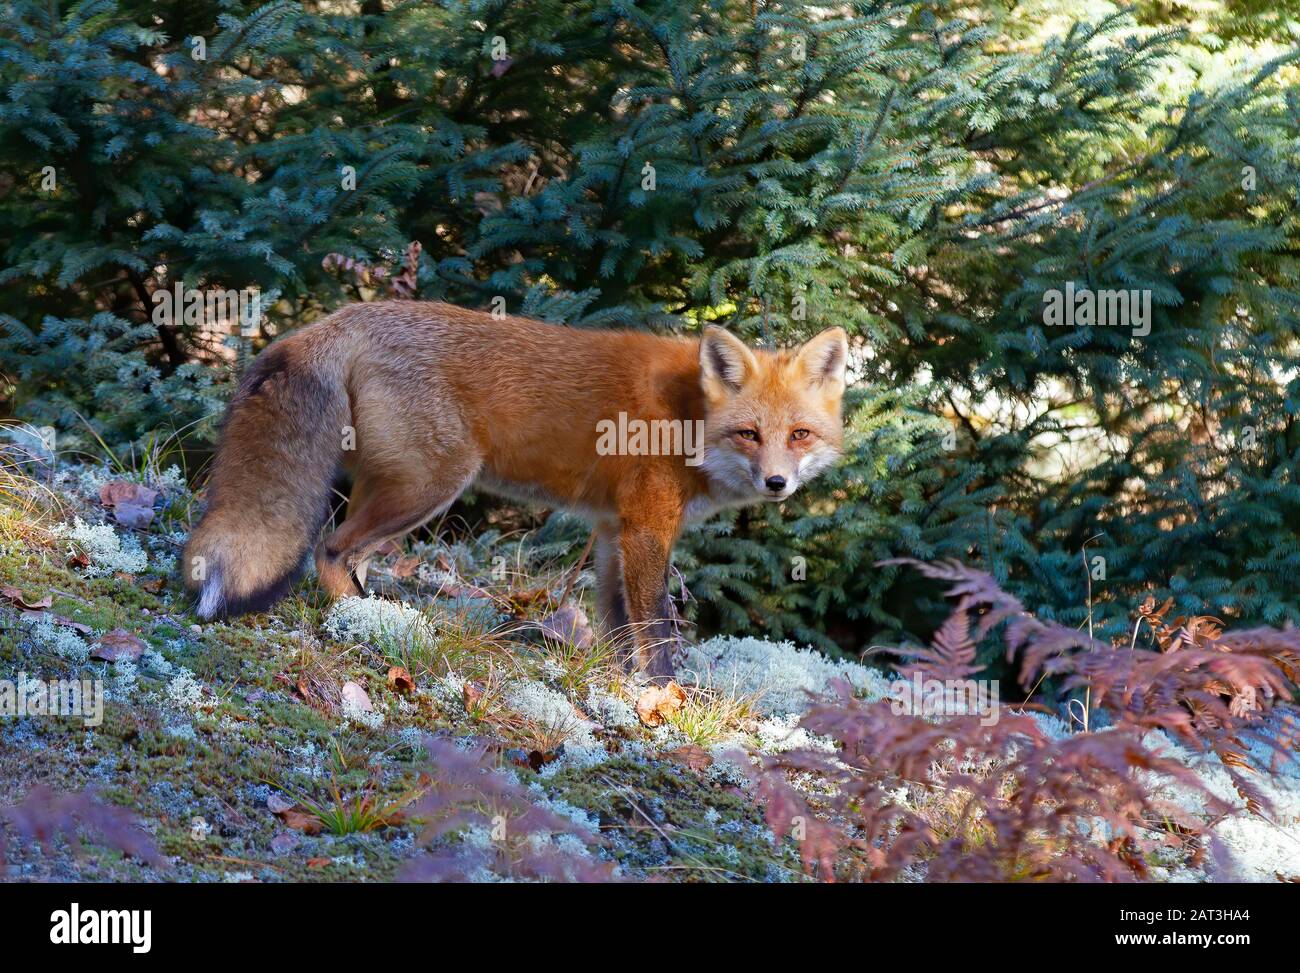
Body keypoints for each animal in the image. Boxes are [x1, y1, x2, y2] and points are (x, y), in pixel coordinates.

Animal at [183, 301, 848, 680]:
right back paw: (373, 625)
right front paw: (666, 699)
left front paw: (625, 689)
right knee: (330, 548)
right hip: (433, 483)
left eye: (799, 434)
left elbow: (618, 627)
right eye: (748, 434)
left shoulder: (613, 530)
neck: (685, 415)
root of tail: (342, 317)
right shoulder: (647, 528)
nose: (777, 483)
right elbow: (656, 628)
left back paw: (373, 616)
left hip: (397, 485)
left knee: (353, 555)